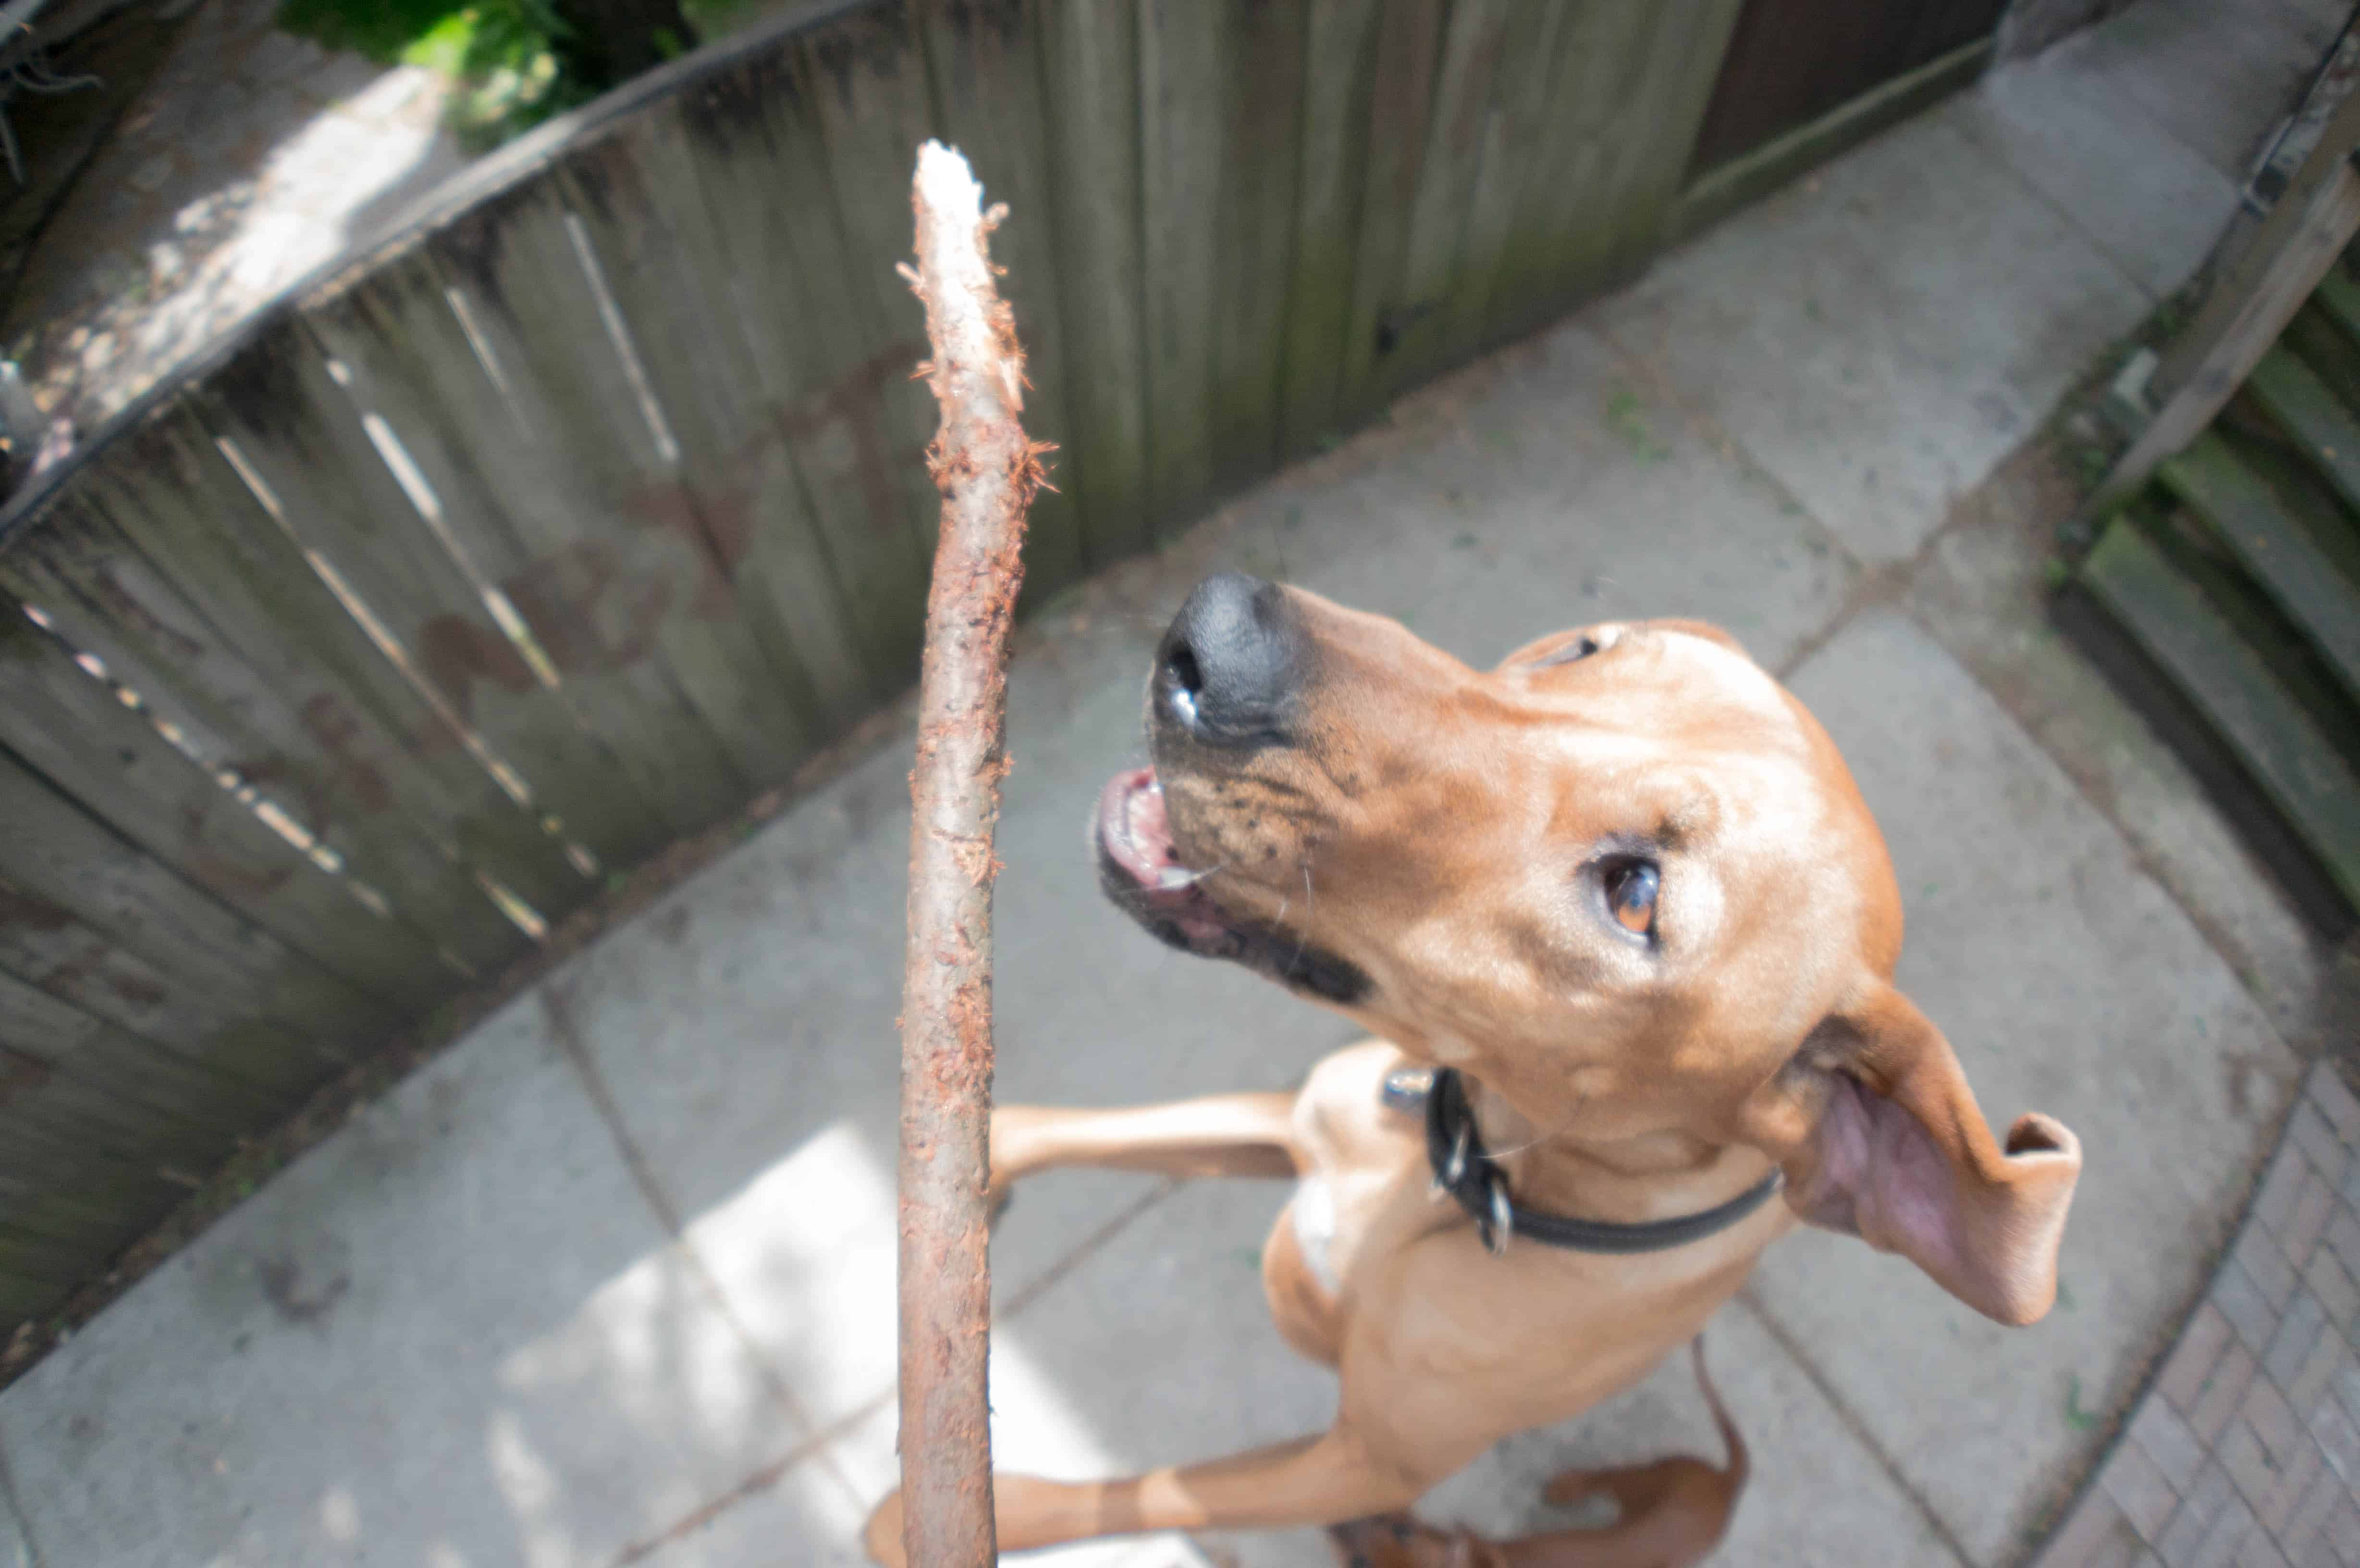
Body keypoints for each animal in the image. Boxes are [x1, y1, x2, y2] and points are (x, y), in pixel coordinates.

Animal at [859, 578, 2077, 1568]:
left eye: (1633, 895)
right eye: (1580, 648)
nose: (1213, 634)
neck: (1464, 1173)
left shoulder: (1360, 1461)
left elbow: (1146, 1492)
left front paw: (934, 1518)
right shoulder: (1291, 1122)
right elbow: (1060, 1126)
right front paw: (965, 1176)